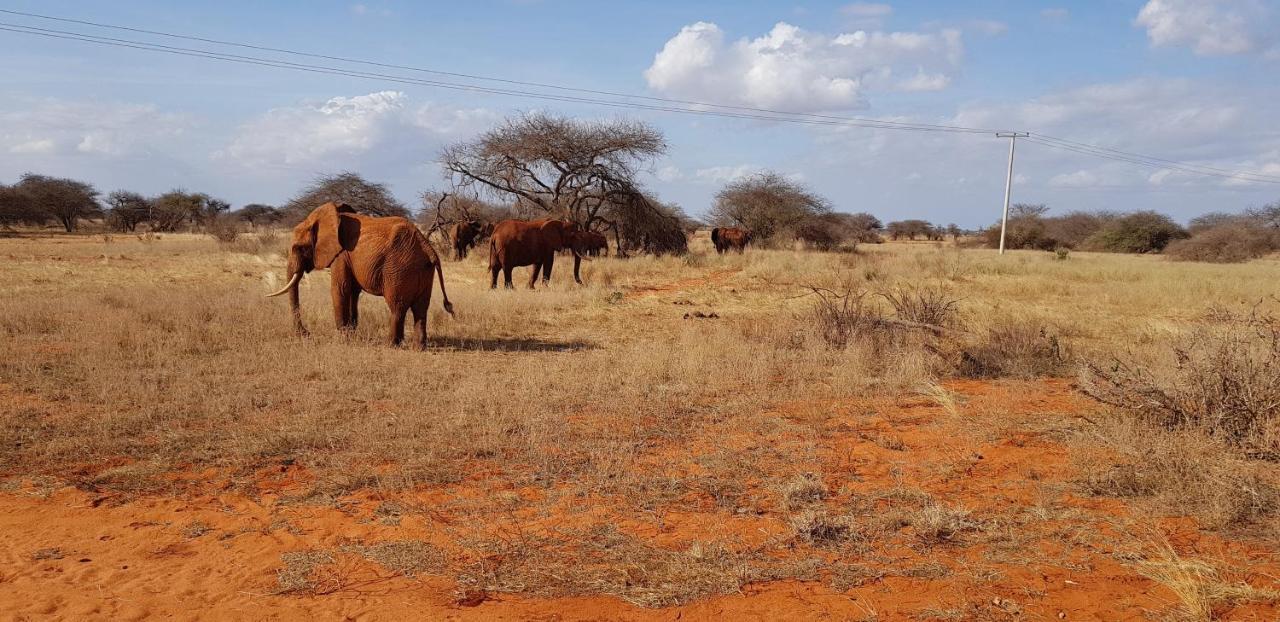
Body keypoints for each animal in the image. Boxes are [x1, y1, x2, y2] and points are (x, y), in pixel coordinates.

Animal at [264, 203, 455, 350]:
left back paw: (390, 345)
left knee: (397, 307)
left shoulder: (341, 255)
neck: (332, 216)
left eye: (299, 248)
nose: (306, 334)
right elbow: (353, 292)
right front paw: (351, 333)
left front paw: (343, 339)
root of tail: (428, 249)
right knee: (421, 309)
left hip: (399, 269)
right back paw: (418, 348)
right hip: (422, 271)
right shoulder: (348, 258)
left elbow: (340, 289)